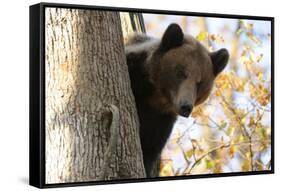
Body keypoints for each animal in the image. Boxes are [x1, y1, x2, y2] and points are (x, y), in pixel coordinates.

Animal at [124, 22, 228, 178]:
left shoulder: (160, 122)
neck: (156, 98)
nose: (186, 106)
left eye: (199, 82)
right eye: (181, 72)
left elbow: (148, 150)